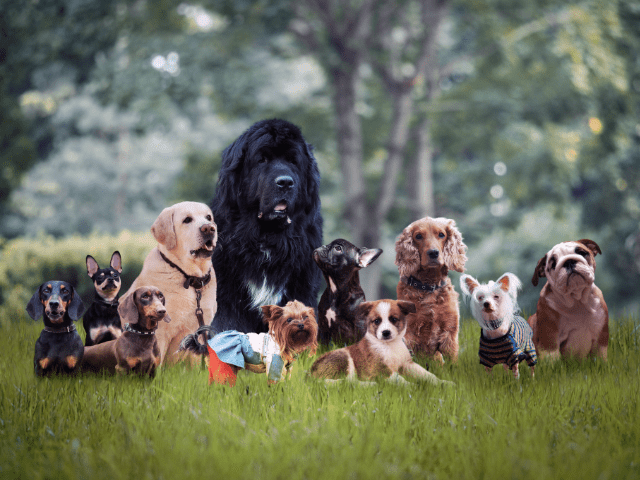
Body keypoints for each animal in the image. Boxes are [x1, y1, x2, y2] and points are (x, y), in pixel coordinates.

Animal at [308, 300, 450, 386]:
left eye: (393, 319)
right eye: (377, 321)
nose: (386, 332)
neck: (390, 346)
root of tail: (309, 374)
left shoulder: (407, 364)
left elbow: (428, 375)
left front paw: (443, 382)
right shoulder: (379, 368)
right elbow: (399, 379)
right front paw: (413, 386)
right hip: (342, 357)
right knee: (340, 382)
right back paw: (369, 385)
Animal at [392, 216, 468, 362]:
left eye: (441, 234)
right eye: (418, 236)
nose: (433, 253)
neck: (429, 286)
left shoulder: (449, 332)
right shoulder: (409, 334)